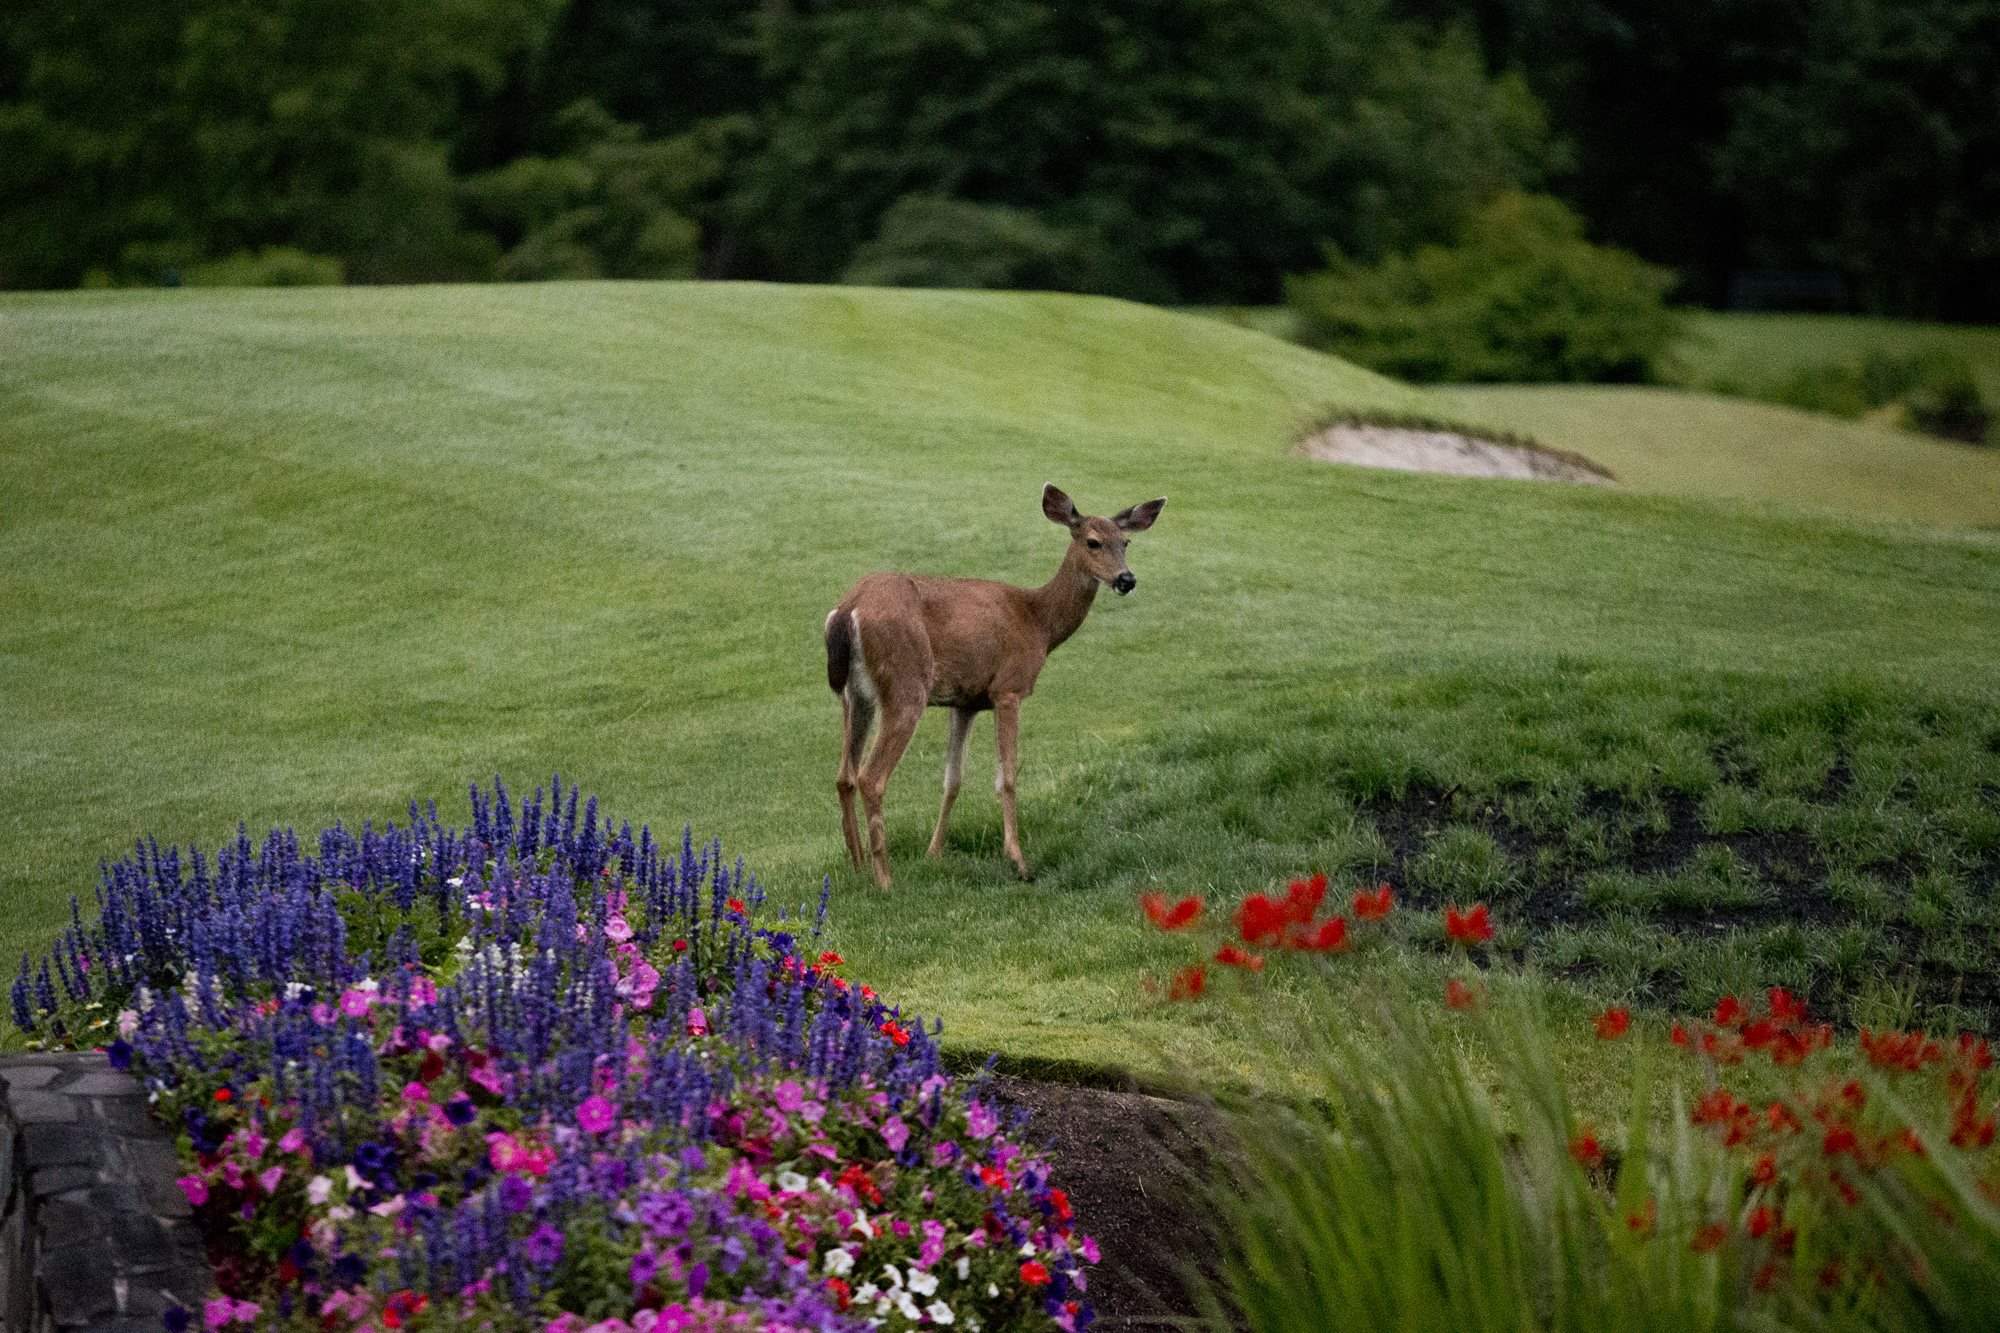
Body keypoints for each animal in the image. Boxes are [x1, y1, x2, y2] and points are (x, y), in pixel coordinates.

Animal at [820, 482, 1168, 888]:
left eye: (1125, 542)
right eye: (1093, 542)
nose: (1126, 580)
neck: (1038, 622)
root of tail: (849, 610)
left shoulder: (966, 701)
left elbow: (953, 779)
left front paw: (934, 853)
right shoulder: (1008, 688)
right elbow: (1008, 777)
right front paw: (1018, 861)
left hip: (854, 695)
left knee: (844, 775)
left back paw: (857, 866)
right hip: (905, 684)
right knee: (870, 776)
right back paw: (885, 881)